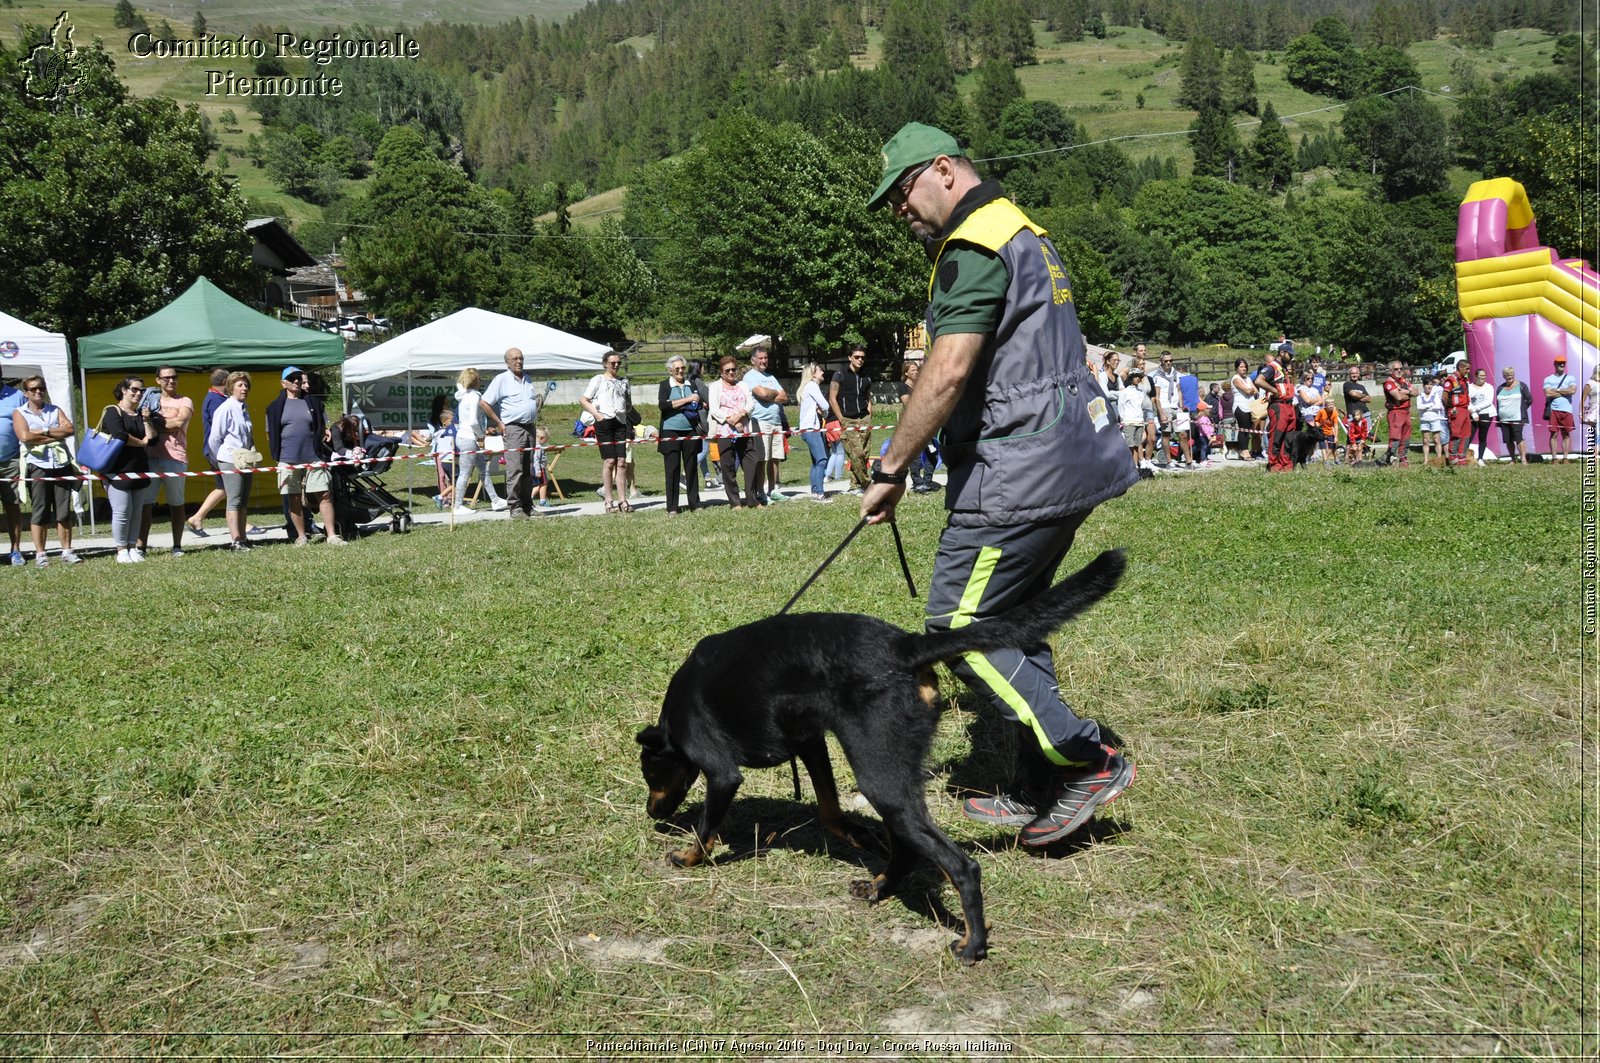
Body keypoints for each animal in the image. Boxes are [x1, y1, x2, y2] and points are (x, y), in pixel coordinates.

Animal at [636, 547, 1126, 960]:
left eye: (650, 774)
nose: (651, 813)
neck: (674, 717)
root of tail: (905, 646)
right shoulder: (812, 743)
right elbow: (830, 811)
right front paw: (858, 836)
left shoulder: (721, 772)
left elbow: (706, 829)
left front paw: (686, 858)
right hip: (889, 773)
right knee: (908, 848)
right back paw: (877, 887)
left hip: (879, 775)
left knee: (961, 866)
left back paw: (971, 944)